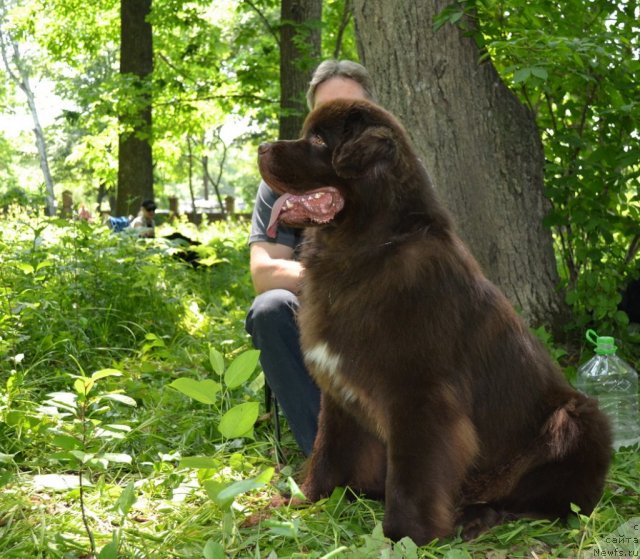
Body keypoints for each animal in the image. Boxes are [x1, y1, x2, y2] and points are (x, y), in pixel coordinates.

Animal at [258, 98, 612, 544]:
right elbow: (327, 454)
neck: (368, 250)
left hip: (578, 419)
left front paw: (404, 537)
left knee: (541, 501)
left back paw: (474, 516)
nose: (261, 148)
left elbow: (413, 476)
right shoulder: (337, 391)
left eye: (320, 140)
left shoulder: (421, 396)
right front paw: (299, 503)